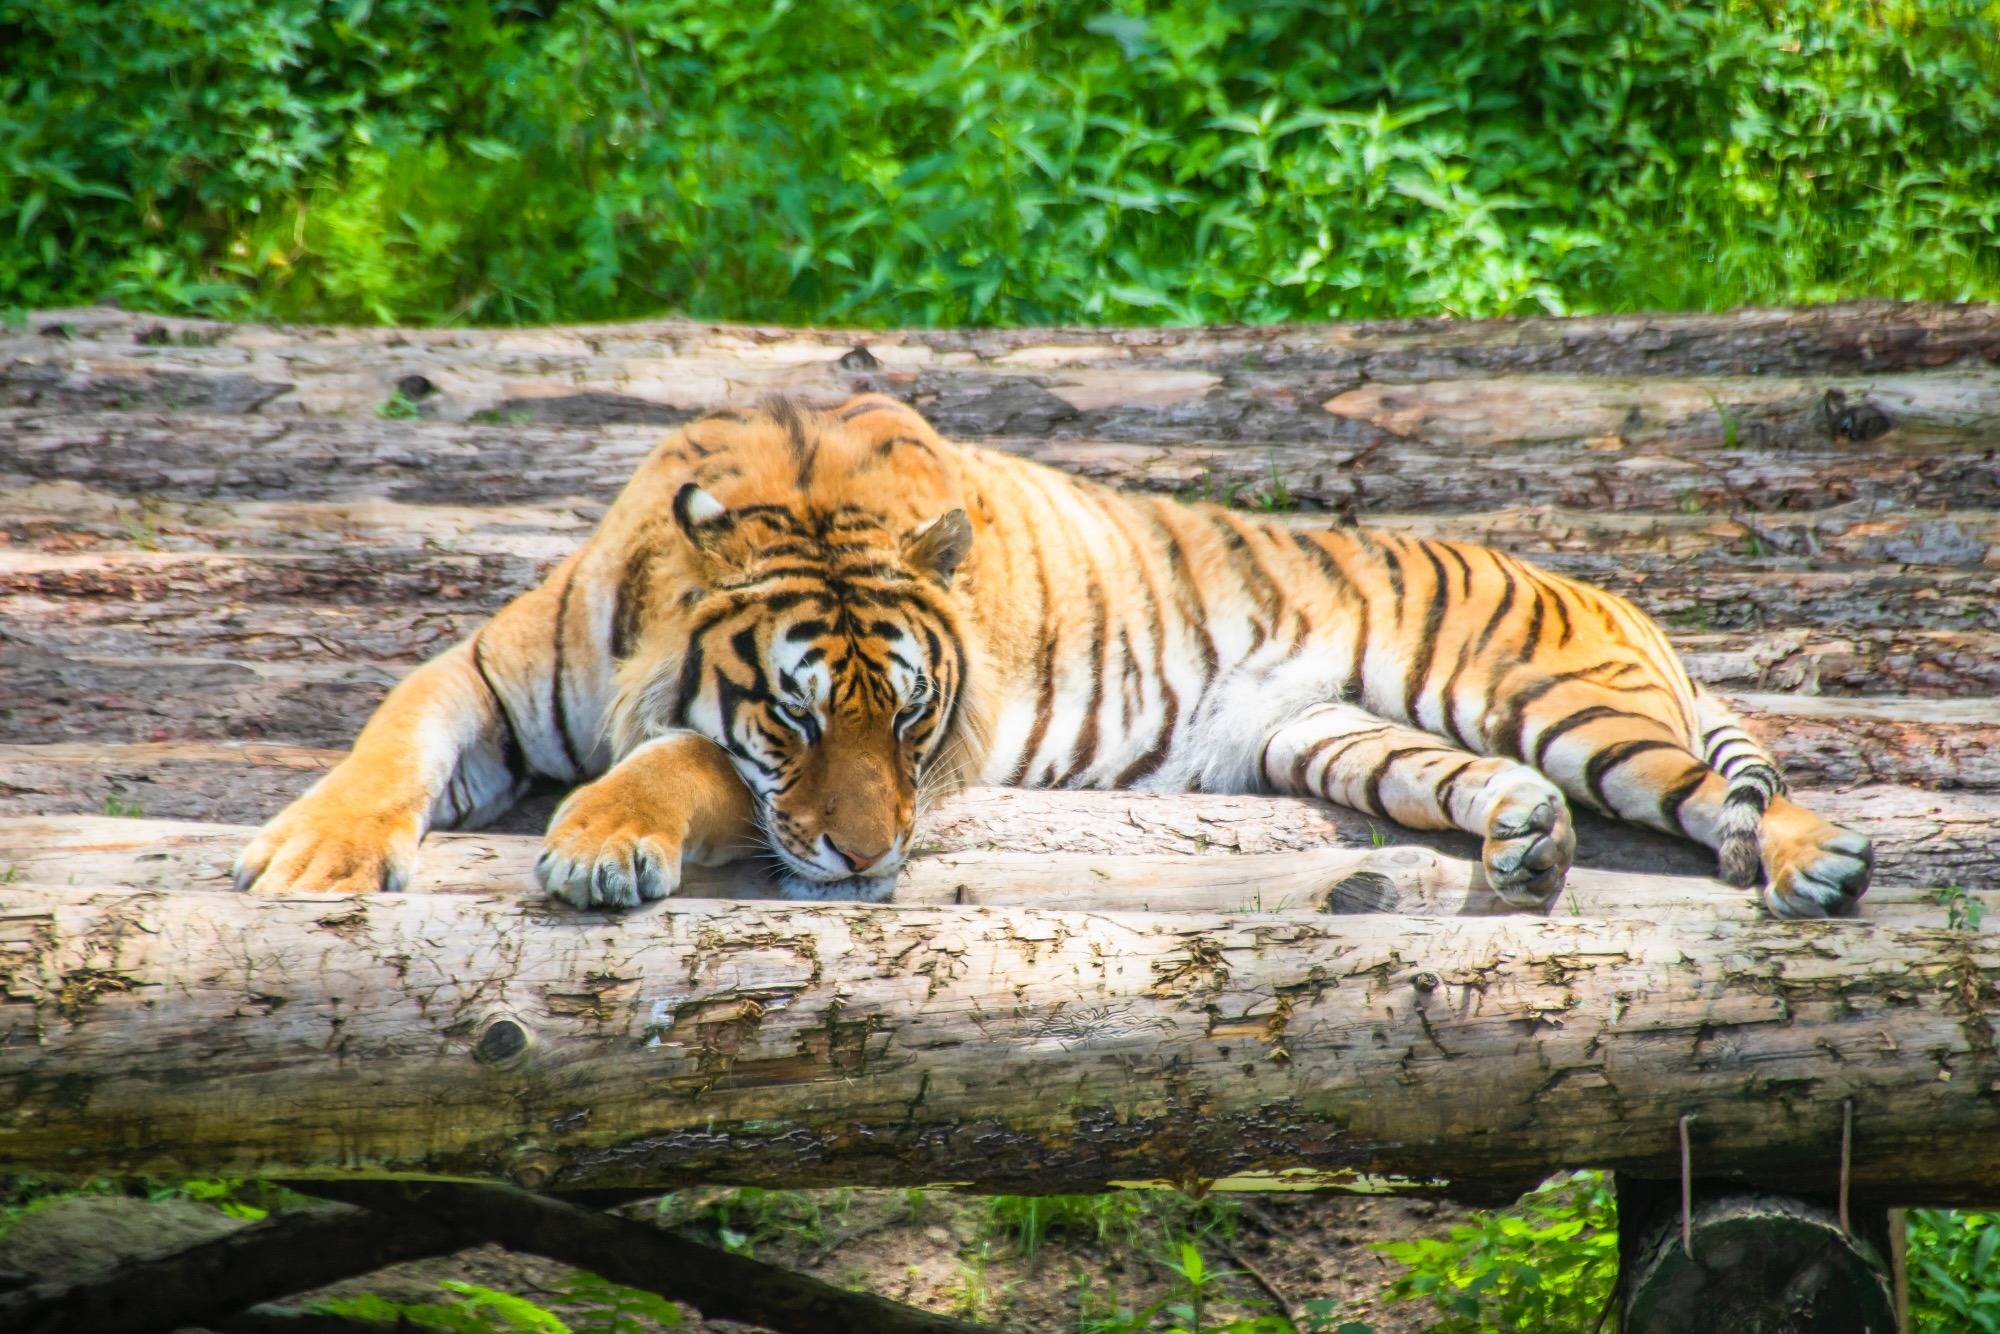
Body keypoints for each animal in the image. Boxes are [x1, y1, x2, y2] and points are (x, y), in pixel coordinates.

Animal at [234, 392, 1872, 924]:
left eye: (906, 724)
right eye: (799, 715)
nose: (870, 860)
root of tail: (1605, 589)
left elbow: (687, 754)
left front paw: (599, 839)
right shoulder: (486, 673)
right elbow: (388, 733)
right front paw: (313, 852)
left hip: (1559, 701)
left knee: (1727, 794)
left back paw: (1819, 866)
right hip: (1342, 738)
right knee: (1492, 787)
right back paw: (1524, 844)